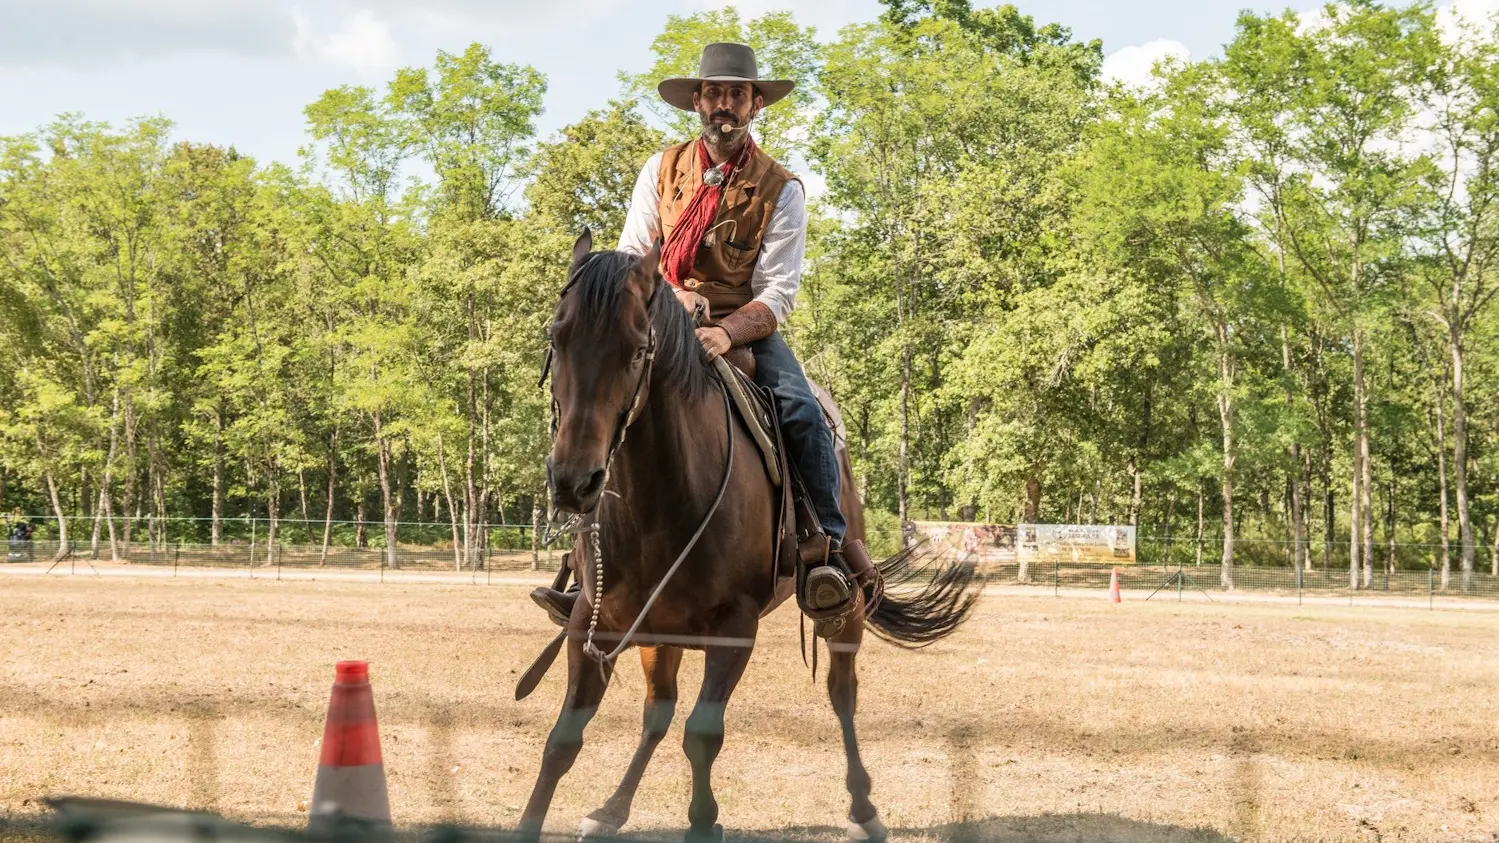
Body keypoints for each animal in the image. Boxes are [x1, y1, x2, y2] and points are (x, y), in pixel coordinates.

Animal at [518, 231, 983, 840]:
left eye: (637, 349)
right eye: (558, 336)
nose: (574, 481)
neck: (659, 508)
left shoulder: (734, 629)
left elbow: (702, 736)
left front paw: (705, 819)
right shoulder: (592, 624)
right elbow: (563, 742)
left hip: (846, 610)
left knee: (842, 695)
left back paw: (864, 809)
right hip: (659, 633)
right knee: (657, 712)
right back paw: (612, 810)